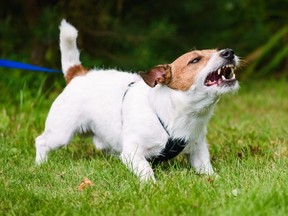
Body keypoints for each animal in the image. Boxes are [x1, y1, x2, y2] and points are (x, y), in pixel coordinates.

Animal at [35, 20, 240, 182]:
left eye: (217, 51)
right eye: (195, 60)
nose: (229, 52)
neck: (176, 114)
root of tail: (78, 74)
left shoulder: (198, 149)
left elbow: (206, 168)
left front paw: (216, 180)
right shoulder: (132, 153)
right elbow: (146, 169)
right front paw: (151, 185)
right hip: (60, 133)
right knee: (41, 141)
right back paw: (40, 164)